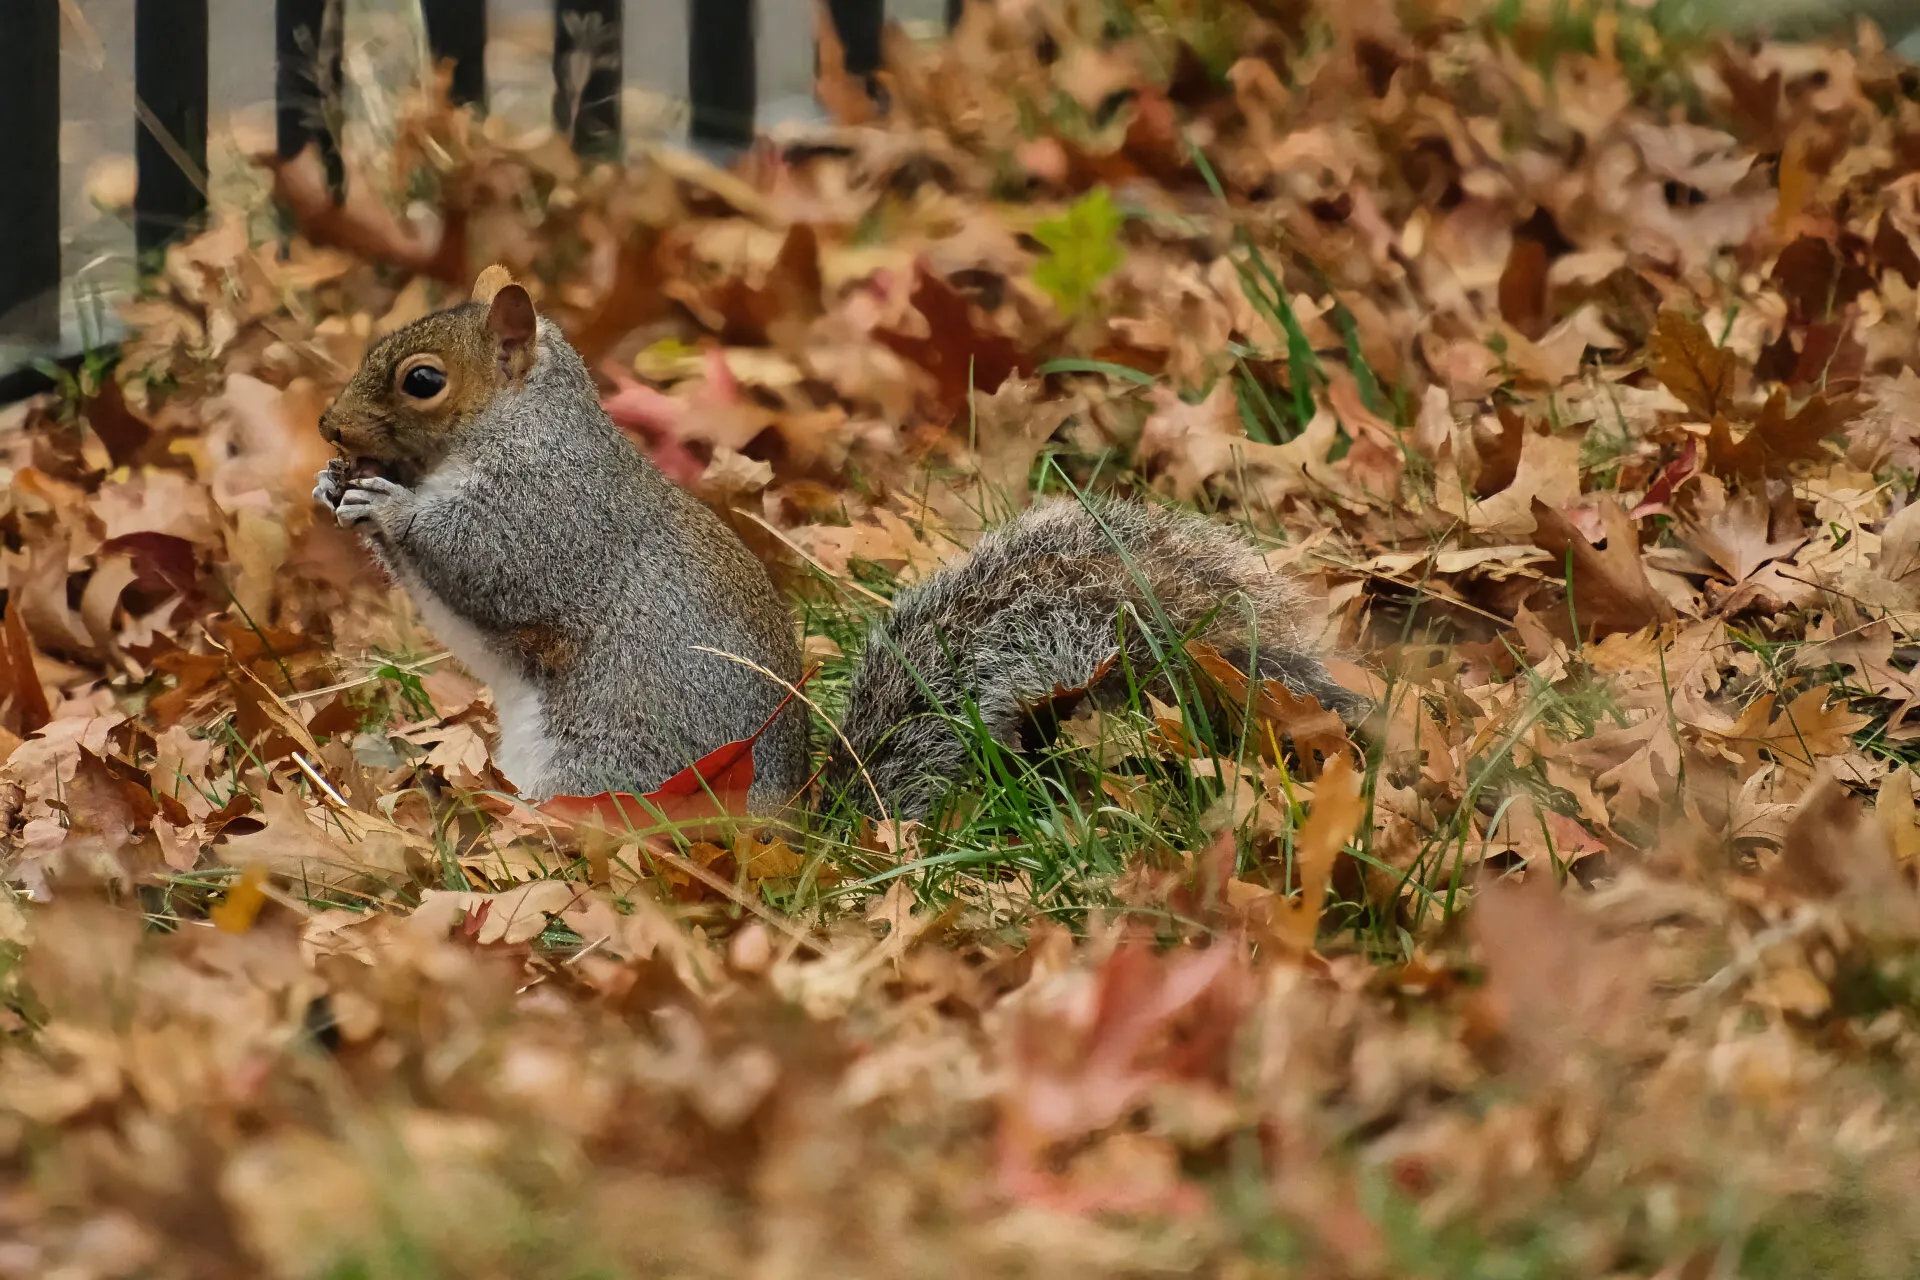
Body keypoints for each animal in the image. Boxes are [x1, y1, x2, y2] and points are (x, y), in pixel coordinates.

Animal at [315, 267, 1365, 819]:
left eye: (420, 380)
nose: (326, 426)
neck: (516, 428)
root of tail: (787, 833)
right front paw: (338, 490)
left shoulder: (550, 513)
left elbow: (485, 566)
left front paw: (387, 509)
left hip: (612, 761)